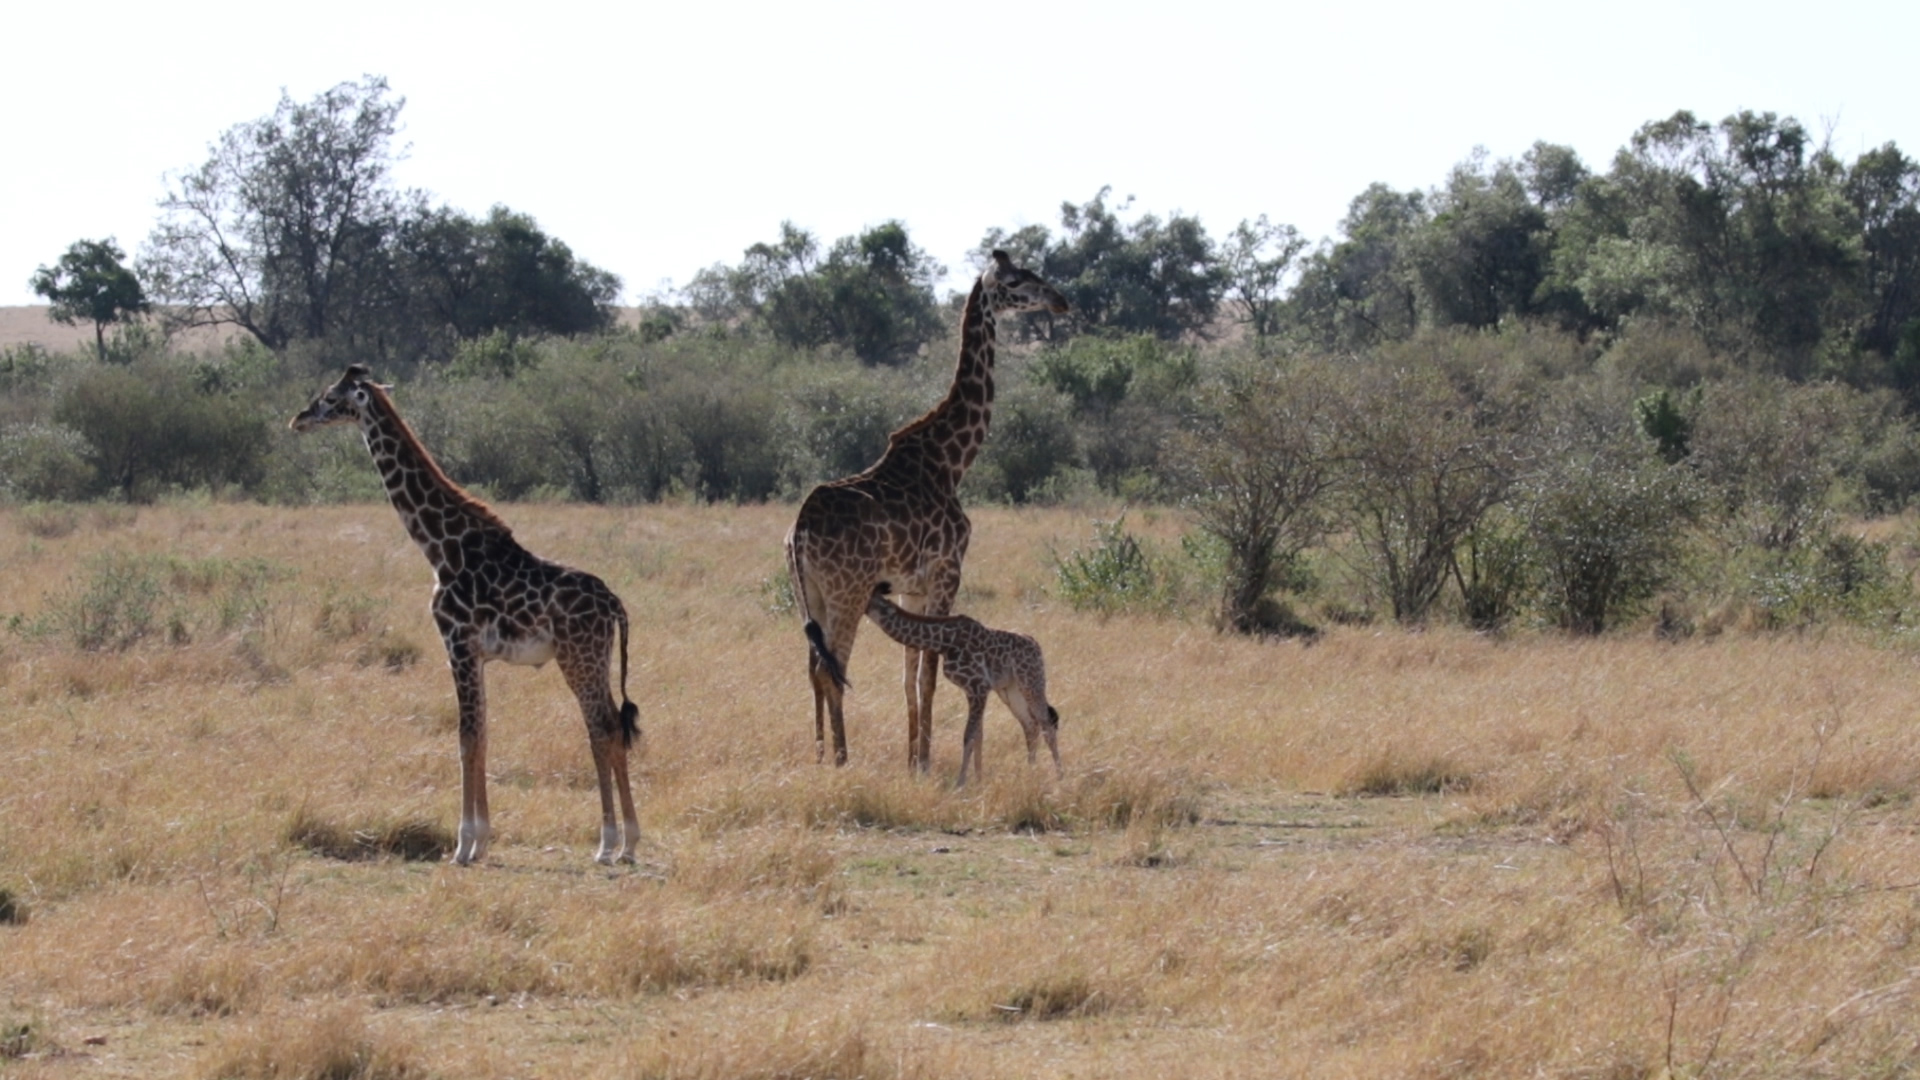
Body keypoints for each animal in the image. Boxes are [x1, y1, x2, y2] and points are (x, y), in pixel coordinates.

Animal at [288, 365, 641, 860]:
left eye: (330, 397)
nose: (297, 419)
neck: (440, 548)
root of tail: (614, 603)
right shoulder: (475, 654)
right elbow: (484, 735)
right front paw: (483, 841)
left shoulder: (456, 643)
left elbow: (465, 738)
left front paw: (464, 845)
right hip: (597, 658)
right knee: (611, 726)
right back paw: (625, 842)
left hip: (578, 658)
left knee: (602, 727)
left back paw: (612, 843)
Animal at [864, 580, 1059, 780]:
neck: (944, 642)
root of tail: (1036, 645)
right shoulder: (974, 690)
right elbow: (978, 736)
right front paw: (978, 780)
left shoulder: (979, 687)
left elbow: (969, 735)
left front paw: (961, 782)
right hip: (1010, 690)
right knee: (1031, 725)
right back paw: (1030, 770)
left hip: (1031, 681)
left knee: (1046, 724)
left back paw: (1060, 776)